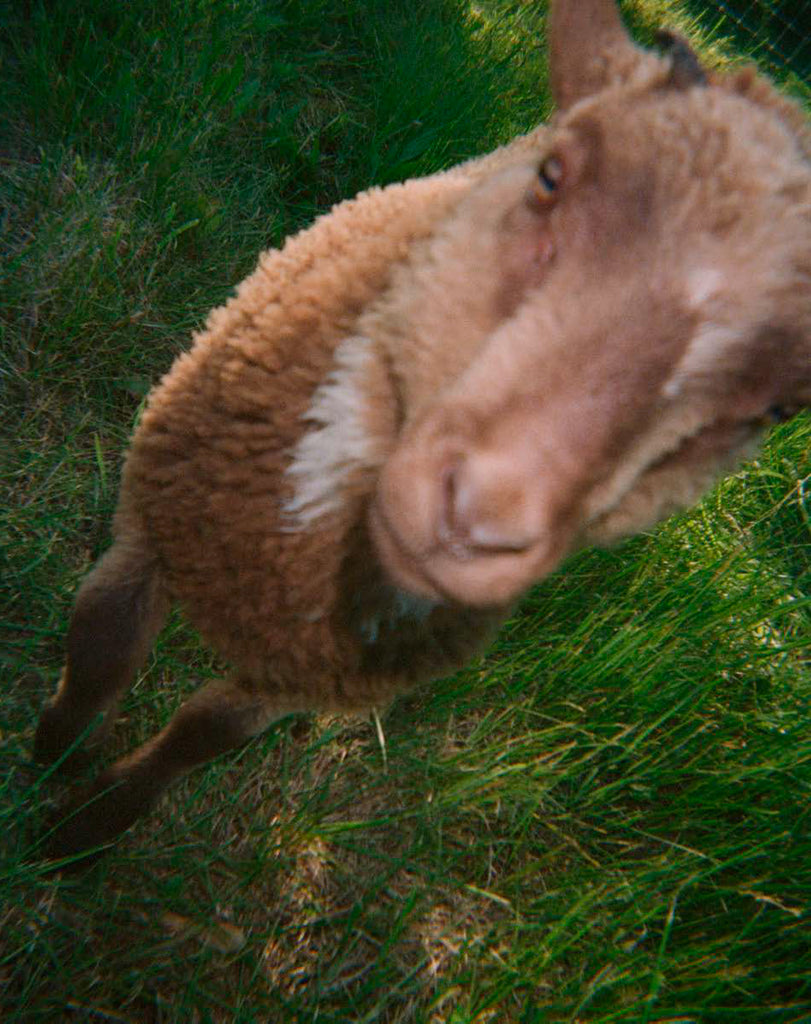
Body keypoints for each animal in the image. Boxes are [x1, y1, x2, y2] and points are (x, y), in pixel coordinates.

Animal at [34, 0, 811, 864]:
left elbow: (205, 734)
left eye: (777, 410)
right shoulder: (151, 519)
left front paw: (92, 820)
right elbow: (102, 641)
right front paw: (53, 762)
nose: (478, 519)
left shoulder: (299, 679)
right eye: (551, 177)